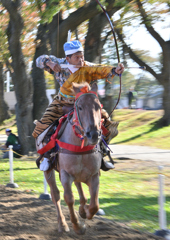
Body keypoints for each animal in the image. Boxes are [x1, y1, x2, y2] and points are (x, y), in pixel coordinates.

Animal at [43, 82, 102, 234]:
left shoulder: (94, 175)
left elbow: (95, 204)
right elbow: (68, 198)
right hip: (48, 170)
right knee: (56, 195)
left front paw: (85, 212)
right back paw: (62, 224)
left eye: (98, 106)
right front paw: (77, 226)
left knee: (80, 188)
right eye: (80, 107)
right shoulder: (65, 174)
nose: (93, 134)